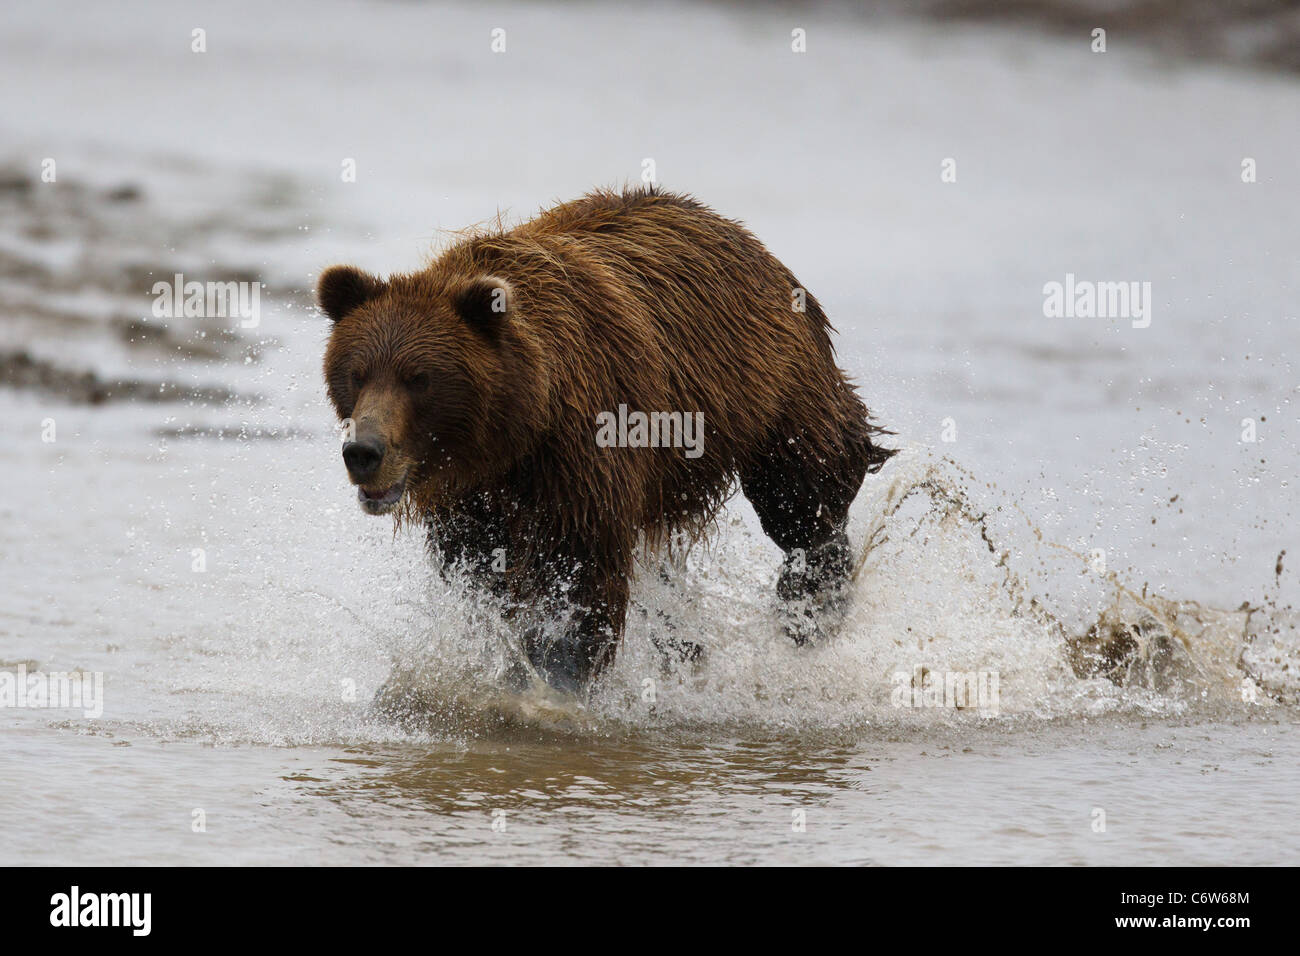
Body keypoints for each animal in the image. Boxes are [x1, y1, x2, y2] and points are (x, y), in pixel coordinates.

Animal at [321, 184, 899, 697]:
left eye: (418, 378)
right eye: (356, 372)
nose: (363, 452)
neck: (515, 432)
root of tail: (743, 237)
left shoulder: (585, 448)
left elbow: (579, 572)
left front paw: (558, 675)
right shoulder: (473, 500)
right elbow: (485, 578)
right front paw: (508, 665)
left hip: (774, 386)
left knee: (802, 496)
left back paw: (810, 605)